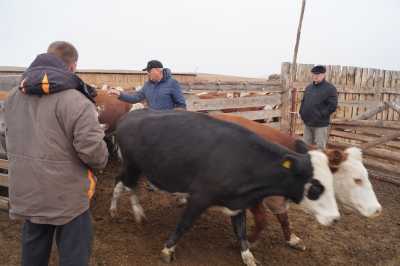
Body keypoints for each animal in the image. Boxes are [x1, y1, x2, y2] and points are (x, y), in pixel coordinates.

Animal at [110, 109, 338, 264]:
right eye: (316, 187)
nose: (335, 218)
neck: (244, 159)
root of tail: (128, 116)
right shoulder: (200, 197)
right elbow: (184, 224)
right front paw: (168, 250)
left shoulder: (238, 203)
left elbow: (242, 233)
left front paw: (248, 256)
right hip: (132, 165)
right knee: (124, 184)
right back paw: (129, 212)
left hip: (136, 167)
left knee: (124, 184)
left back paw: (127, 212)